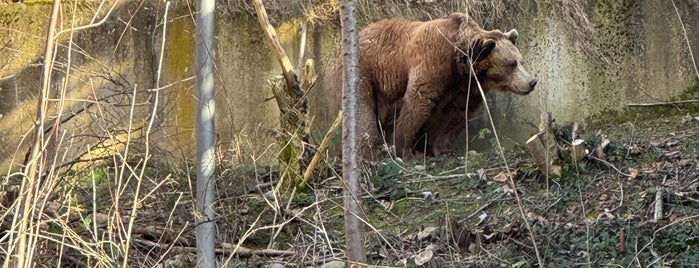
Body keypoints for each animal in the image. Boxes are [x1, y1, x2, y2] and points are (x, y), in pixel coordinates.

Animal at [352, 12, 540, 159]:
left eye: (520, 60)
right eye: (511, 64)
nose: (532, 82)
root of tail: (362, 30)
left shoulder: (465, 88)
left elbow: (456, 116)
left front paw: (442, 149)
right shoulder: (433, 62)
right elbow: (417, 105)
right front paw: (406, 151)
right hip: (367, 71)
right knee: (363, 112)